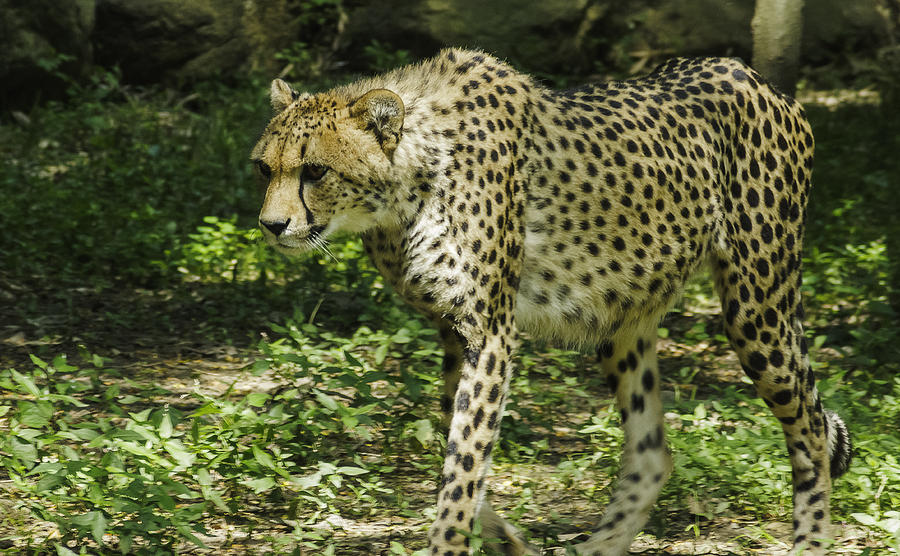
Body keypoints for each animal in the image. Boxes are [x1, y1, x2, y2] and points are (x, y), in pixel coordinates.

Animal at [251, 50, 852, 552]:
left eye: (315, 170)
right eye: (265, 168)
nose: (271, 225)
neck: (410, 182)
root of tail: (753, 75)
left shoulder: (490, 332)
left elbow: (462, 469)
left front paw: (449, 542)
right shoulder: (454, 332)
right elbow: (459, 447)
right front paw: (507, 542)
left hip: (758, 308)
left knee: (810, 430)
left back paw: (810, 540)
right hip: (622, 318)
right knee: (653, 451)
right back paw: (599, 545)